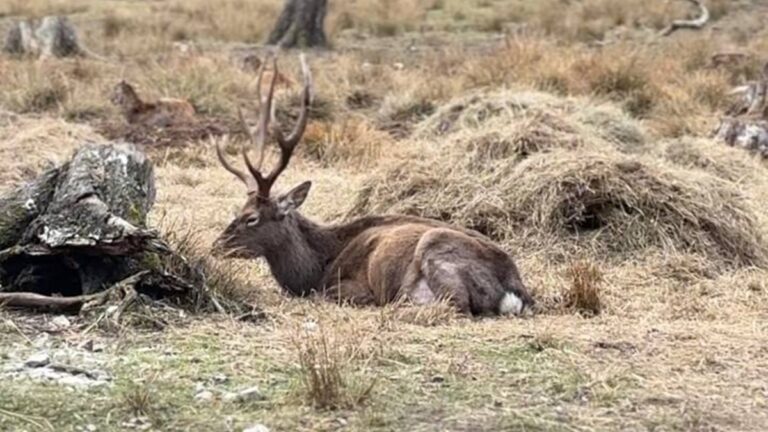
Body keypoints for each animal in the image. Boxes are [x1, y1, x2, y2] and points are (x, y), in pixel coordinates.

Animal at [212, 54, 534, 316]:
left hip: (434, 249)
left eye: (251, 218)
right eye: (237, 210)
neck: (316, 268)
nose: (216, 245)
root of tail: (515, 292)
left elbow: (328, 296)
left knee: (456, 307)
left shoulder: (348, 286)